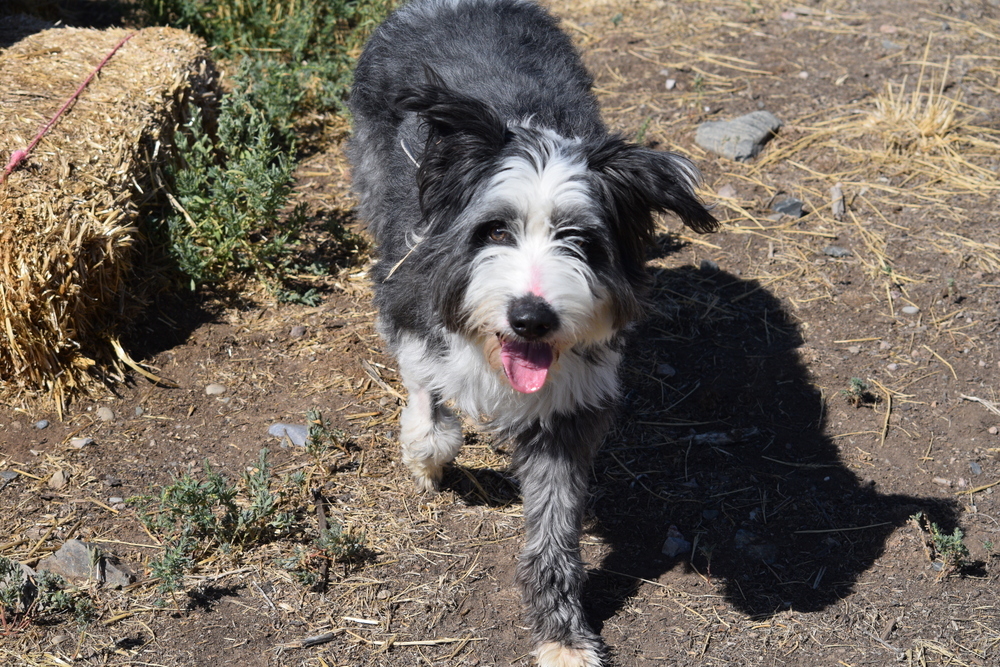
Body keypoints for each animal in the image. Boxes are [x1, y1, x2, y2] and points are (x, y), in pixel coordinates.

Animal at [348, 2, 716, 664]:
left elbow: (554, 525)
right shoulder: (405, 290)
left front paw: (561, 635)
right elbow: (426, 391)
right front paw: (425, 455)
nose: (531, 318)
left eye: (582, 241)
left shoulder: (570, 404)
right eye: (495, 230)